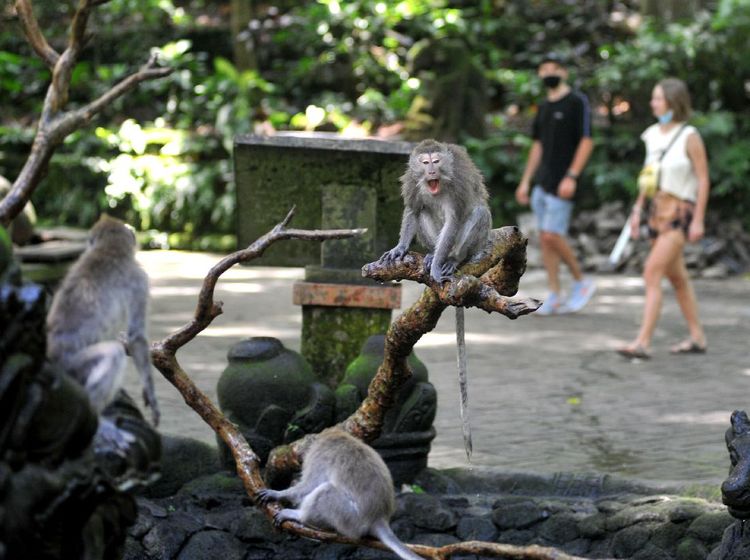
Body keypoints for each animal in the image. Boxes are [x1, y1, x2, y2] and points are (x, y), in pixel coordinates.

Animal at [46, 214, 159, 451]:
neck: (109, 250)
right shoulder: (139, 279)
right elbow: (136, 336)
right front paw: (150, 394)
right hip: (73, 368)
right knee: (113, 353)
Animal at [256, 427, 423, 560]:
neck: (334, 435)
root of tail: (378, 517)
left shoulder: (319, 455)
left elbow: (310, 485)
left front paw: (277, 494)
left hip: (349, 518)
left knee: (326, 491)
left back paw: (300, 517)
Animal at [379, 139, 492, 460]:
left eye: (437, 161)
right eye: (425, 162)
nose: (430, 170)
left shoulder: (458, 185)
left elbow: (455, 218)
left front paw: (439, 264)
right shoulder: (413, 183)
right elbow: (413, 209)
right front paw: (401, 247)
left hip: (476, 241)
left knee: (477, 213)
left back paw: (451, 260)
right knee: (423, 213)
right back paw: (430, 254)